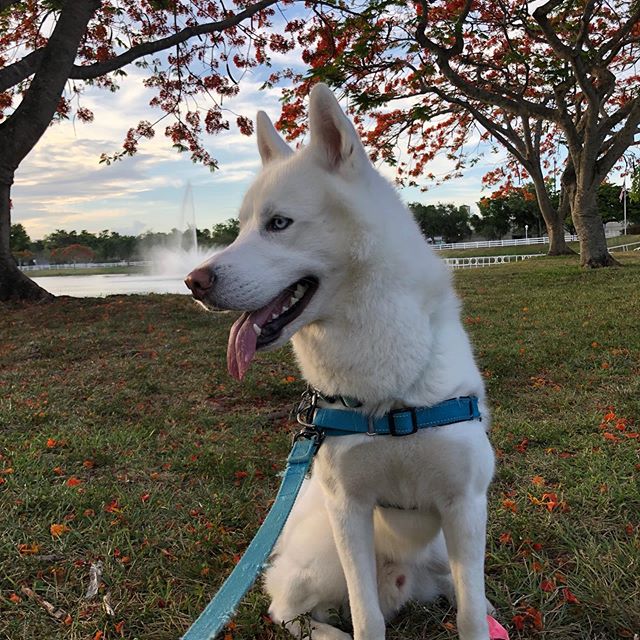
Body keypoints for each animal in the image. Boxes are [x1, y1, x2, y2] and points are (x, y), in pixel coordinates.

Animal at [185, 85, 496, 640]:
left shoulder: (464, 506)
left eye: (278, 224)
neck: (388, 400)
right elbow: (365, 616)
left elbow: (470, 612)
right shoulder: (348, 509)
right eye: (240, 229)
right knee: (288, 607)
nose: (193, 282)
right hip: (325, 552)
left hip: (439, 550)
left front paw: (482, 617)